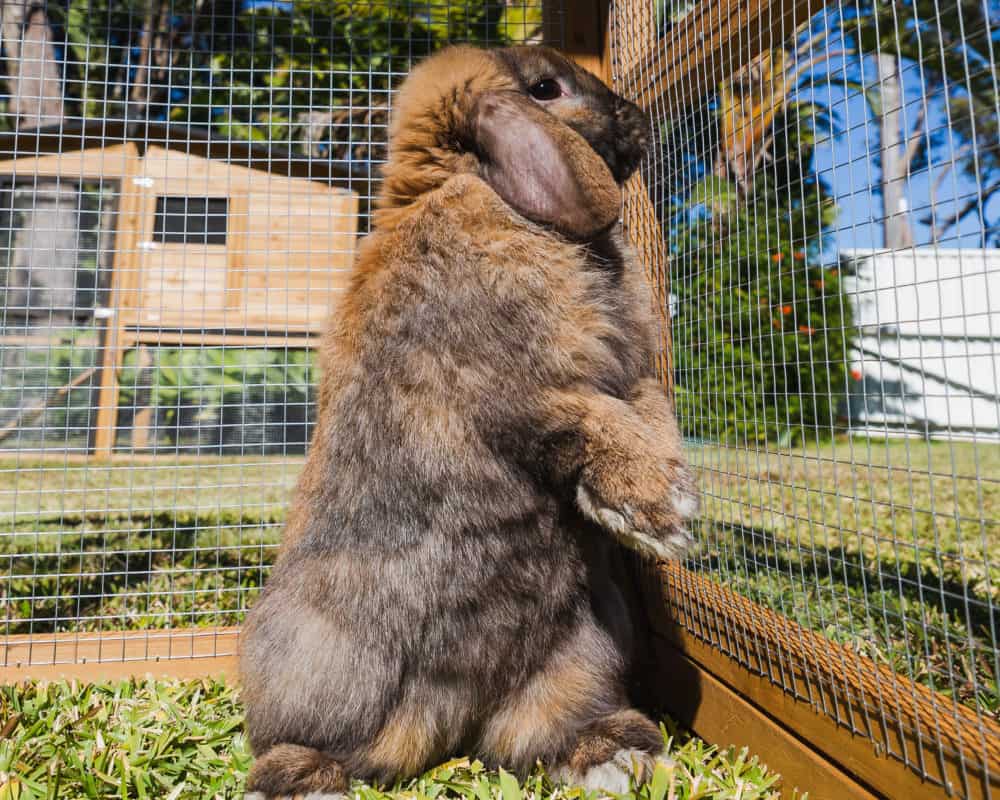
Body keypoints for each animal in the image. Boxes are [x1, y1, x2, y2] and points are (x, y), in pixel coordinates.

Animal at [238, 43, 700, 800]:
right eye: (546, 88)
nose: (637, 118)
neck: (483, 190)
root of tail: (450, 713)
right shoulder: (524, 390)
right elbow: (592, 419)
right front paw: (660, 512)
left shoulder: (632, 376)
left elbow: (650, 418)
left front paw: (655, 517)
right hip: (318, 661)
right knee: (302, 743)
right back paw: (306, 781)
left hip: (584, 655)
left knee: (540, 736)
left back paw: (615, 756)